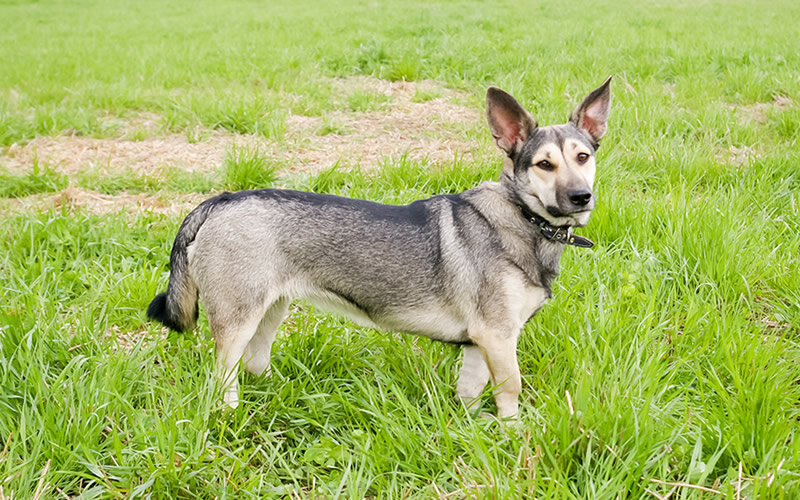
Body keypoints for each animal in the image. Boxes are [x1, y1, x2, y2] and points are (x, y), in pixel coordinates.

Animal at [148, 76, 612, 416]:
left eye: (584, 157)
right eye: (544, 164)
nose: (581, 197)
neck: (523, 217)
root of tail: (222, 200)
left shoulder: (479, 345)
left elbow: (471, 390)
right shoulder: (497, 336)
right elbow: (511, 389)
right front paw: (513, 437)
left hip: (269, 312)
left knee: (254, 364)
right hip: (237, 321)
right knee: (223, 378)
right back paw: (230, 415)